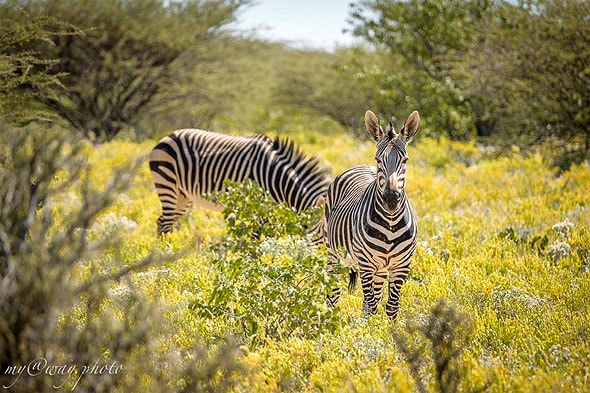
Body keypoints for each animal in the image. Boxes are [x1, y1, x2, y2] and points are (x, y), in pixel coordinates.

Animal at [150, 129, 330, 234]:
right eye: (324, 235)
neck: (275, 177)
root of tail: (167, 136)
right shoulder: (257, 207)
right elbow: (257, 237)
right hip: (167, 183)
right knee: (165, 223)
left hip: (183, 195)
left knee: (161, 222)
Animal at [320, 108, 420, 316]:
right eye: (378, 159)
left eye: (405, 160)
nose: (391, 199)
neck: (390, 223)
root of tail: (361, 166)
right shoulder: (365, 264)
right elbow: (371, 305)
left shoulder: (401, 266)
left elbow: (391, 306)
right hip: (333, 252)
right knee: (334, 293)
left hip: (380, 269)